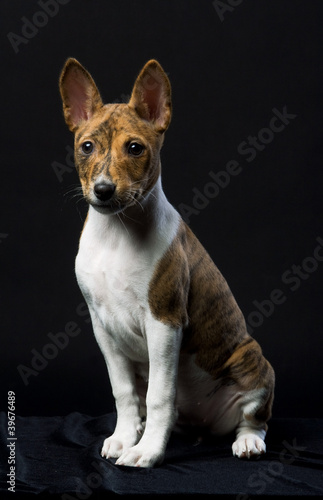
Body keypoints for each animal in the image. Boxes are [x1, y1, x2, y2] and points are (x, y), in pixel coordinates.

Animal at [59, 58, 274, 468]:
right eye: (86, 147)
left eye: (135, 148)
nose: (104, 190)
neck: (117, 233)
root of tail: (205, 424)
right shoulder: (103, 328)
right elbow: (125, 392)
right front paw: (124, 437)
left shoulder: (164, 321)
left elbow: (160, 396)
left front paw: (147, 452)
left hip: (252, 362)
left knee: (253, 418)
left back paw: (247, 442)